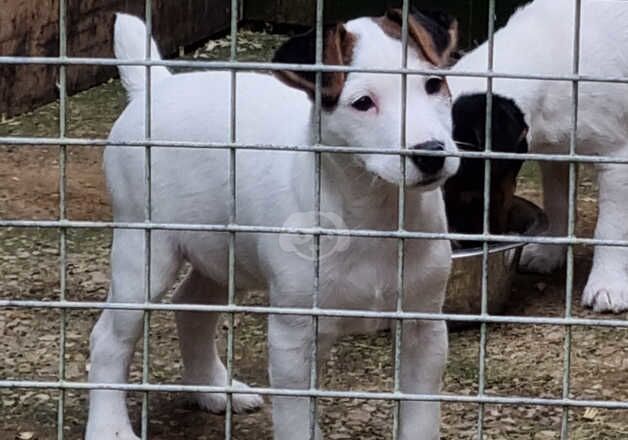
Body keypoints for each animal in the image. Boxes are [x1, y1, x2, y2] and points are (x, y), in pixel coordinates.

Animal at [86, 10, 462, 440]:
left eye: (433, 85)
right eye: (363, 103)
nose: (431, 154)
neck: (373, 212)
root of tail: (156, 85)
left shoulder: (424, 329)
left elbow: (420, 417)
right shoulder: (293, 339)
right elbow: (297, 421)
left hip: (224, 253)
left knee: (191, 308)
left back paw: (214, 389)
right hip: (144, 254)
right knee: (109, 339)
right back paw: (109, 427)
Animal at [448, 0, 628, 312]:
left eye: (468, 194)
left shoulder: (615, 158)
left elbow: (610, 228)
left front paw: (608, 284)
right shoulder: (557, 155)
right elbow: (557, 204)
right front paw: (548, 252)